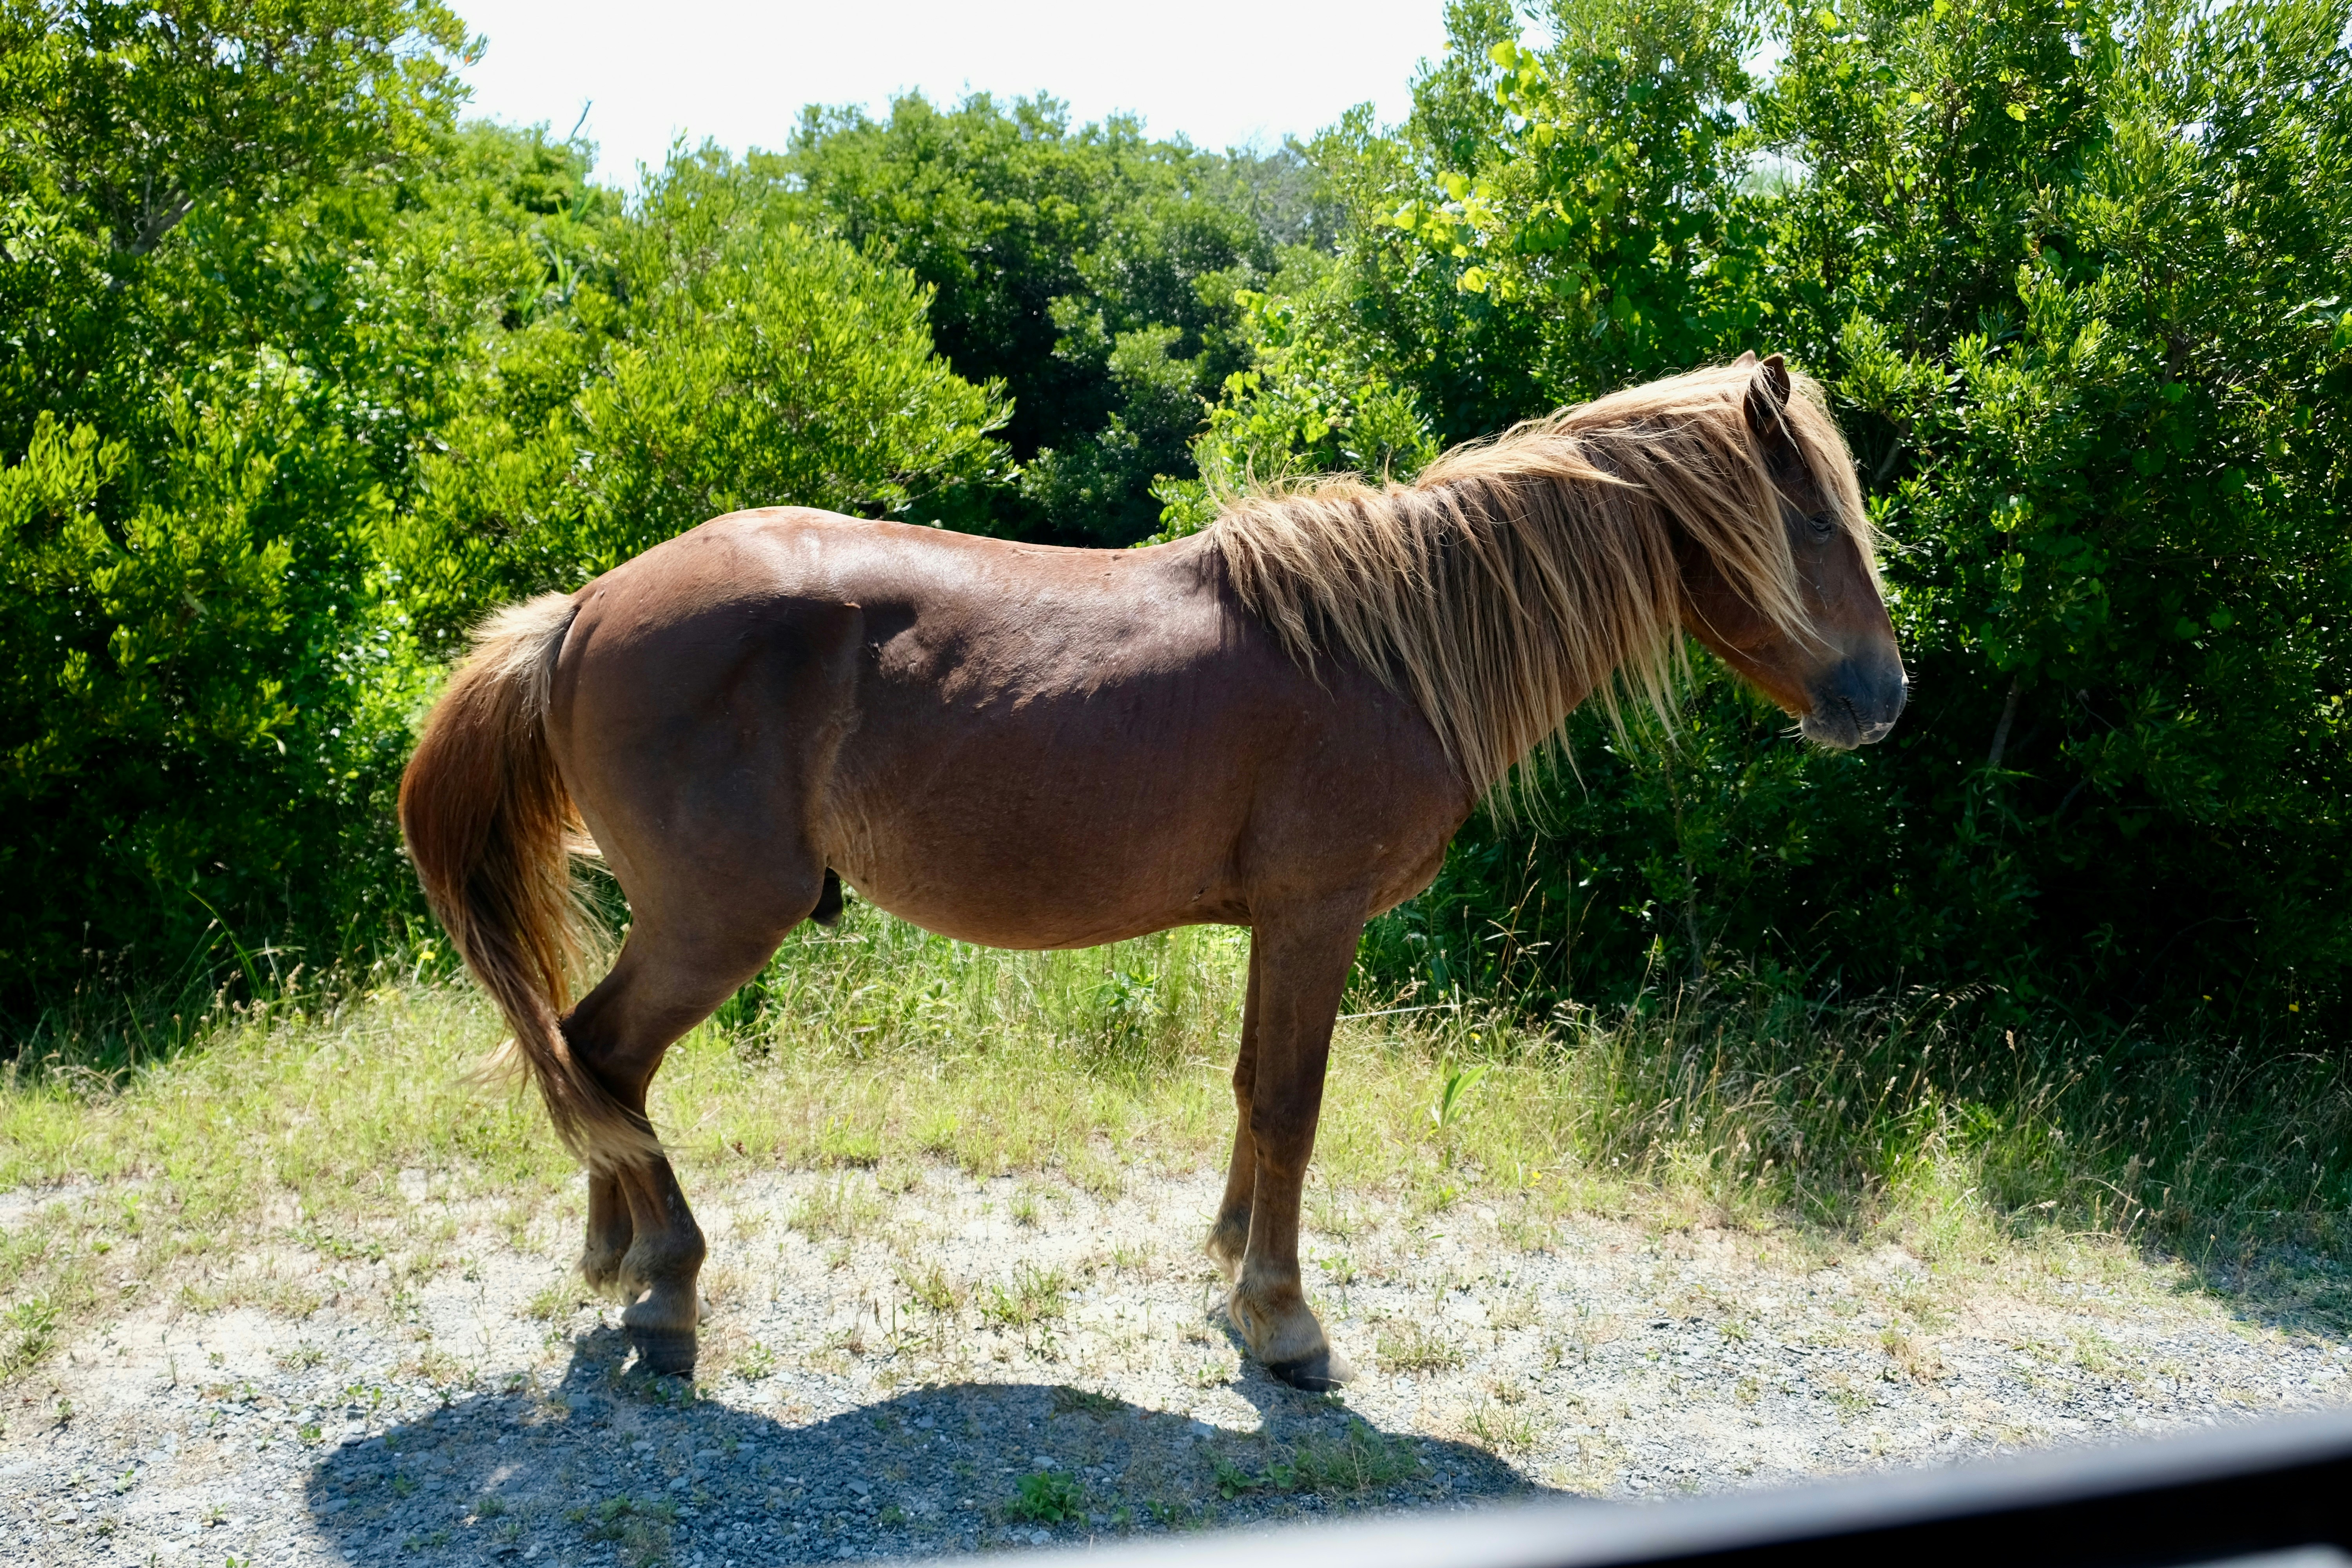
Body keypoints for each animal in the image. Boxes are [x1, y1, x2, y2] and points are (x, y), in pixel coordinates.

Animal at [397, 352, 1906, 1389]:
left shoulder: (1276, 929)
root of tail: (586, 607)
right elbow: (1293, 1106)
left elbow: (1249, 1093)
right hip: (718, 919)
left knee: (604, 1065)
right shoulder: (1316, 918)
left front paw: (1231, 1266)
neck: (1390, 644)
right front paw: (1285, 1323)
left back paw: (617, 1263)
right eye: (1813, 525)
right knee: (603, 1052)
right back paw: (666, 1290)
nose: (1883, 697)